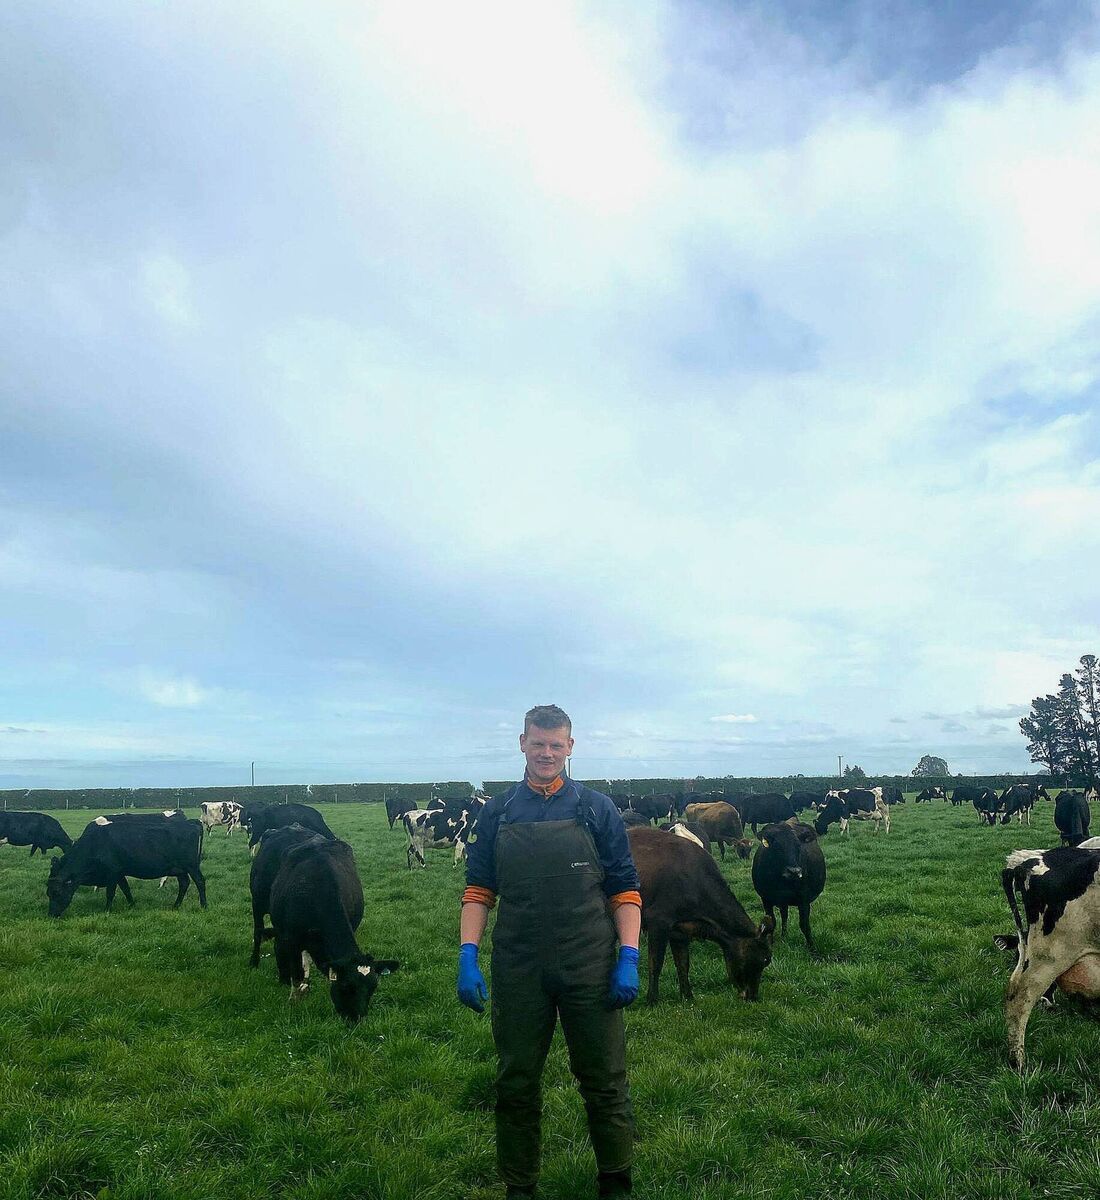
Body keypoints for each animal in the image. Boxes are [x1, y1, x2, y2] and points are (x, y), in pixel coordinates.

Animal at [46, 817, 206, 916]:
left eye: (56, 892)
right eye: (48, 893)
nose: (51, 914)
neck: (95, 844)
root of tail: (191, 823)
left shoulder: (112, 872)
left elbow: (110, 893)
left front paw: (107, 910)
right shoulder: (120, 873)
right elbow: (126, 889)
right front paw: (132, 905)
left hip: (192, 866)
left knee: (200, 881)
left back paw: (204, 906)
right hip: (180, 869)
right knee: (184, 883)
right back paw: (176, 906)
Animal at [268, 837, 399, 1021]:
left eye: (373, 987)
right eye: (345, 986)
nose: (356, 1018)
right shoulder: (291, 939)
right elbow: (296, 973)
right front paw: (294, 999)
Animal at [628, 827, 773, 1005]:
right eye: (764, 960)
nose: (752, 997)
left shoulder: (680, 930)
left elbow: (683, 964)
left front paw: (688, 996)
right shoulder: (658, 920)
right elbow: (656, 964)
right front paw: (652, 1000)